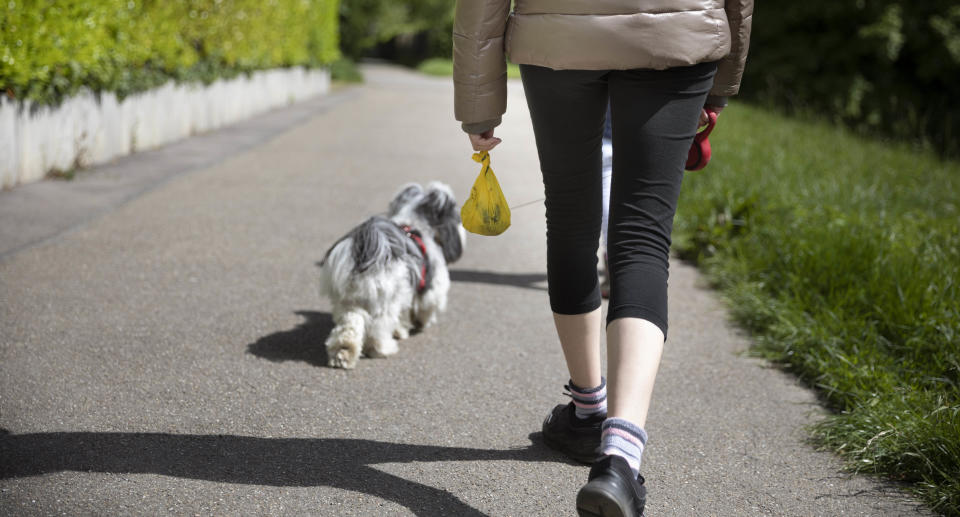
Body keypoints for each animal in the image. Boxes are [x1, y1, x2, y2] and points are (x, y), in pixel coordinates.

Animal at [320, 181, 466, 366]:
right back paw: (383, 349)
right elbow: (426, 306)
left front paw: (401, 330)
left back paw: (342, 354)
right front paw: (421, 323)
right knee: (378, 329)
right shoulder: (433, 287)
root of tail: (367, 250)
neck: (415, 225)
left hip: (349, 302)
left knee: (348, 327)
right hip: (385, 302)